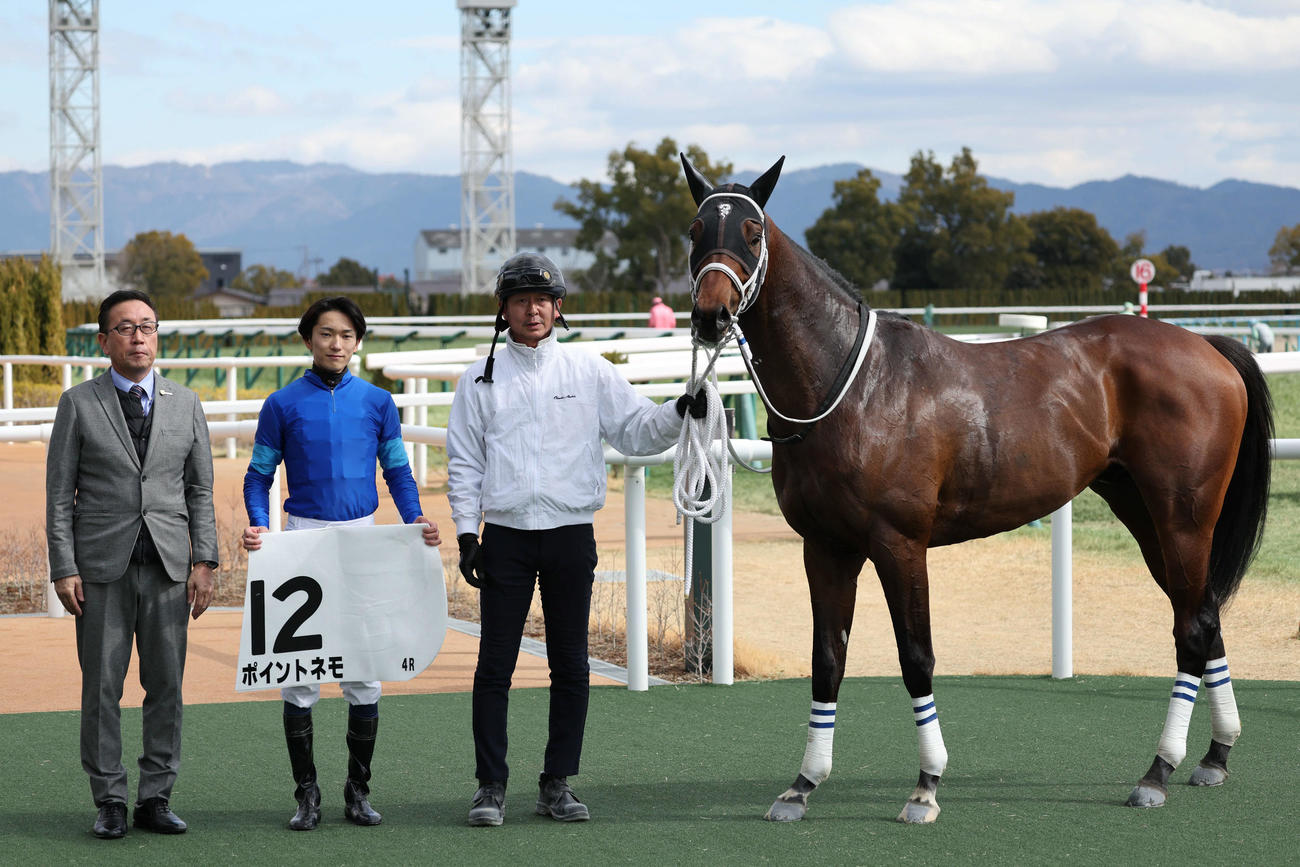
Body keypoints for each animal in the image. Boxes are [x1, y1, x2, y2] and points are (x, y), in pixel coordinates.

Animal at [680, 153, 1273, 823]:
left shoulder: (899, 546)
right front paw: (803, 784)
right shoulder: (825, 548)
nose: (710, 315)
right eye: (696, 231)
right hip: (1145, 516)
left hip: (1183, 519)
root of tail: (1208, 347)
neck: (852, 386)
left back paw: (1158, 771)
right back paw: (1214, 756)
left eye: (752, 233)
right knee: (1204, 615)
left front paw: (926, 786)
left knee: (1192, 630)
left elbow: (916, 657)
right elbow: (827, 659)